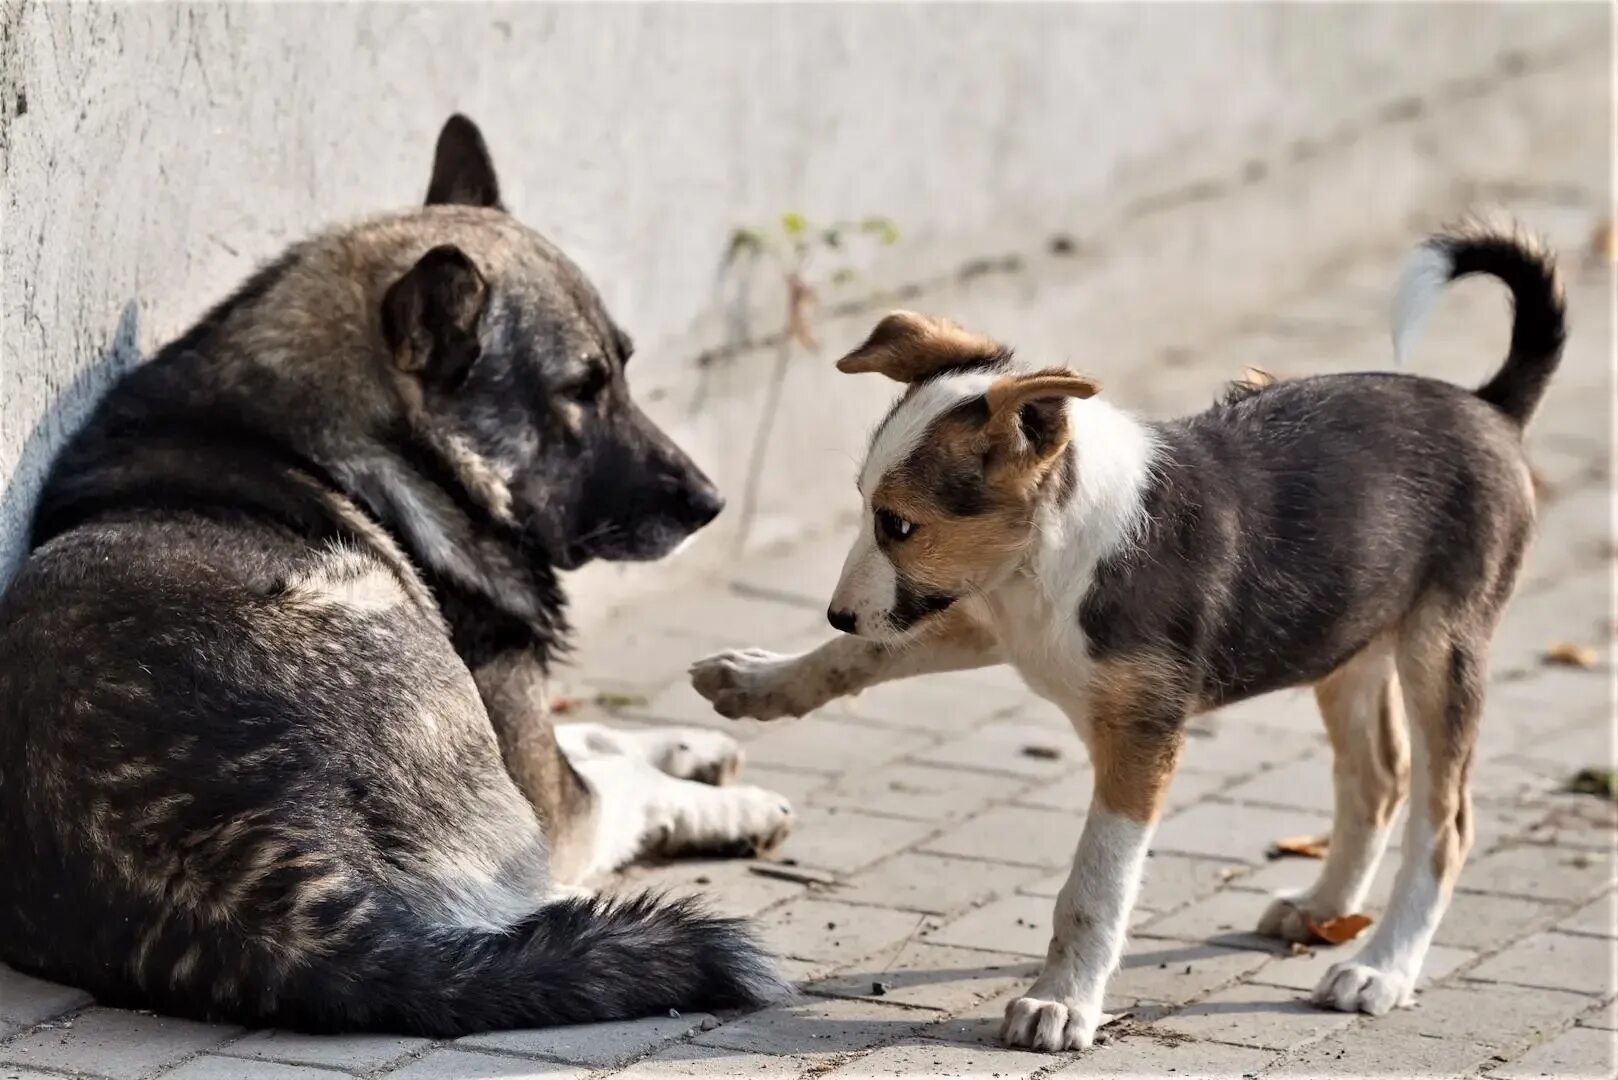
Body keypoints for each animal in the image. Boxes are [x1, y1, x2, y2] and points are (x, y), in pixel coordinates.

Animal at [0, 114, 789, 1036]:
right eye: (581, 389)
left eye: (623, 368)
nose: (710, 502)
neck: (375, 436)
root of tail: (245, 891)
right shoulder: (549, 797)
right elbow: (614, 776)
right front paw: (726, 802)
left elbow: (599, 735)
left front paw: (695, 745)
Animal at [695, 223, 1566, 1049]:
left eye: (900, 525)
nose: (837, 610)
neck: (1051, 556)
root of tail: (1490, 406)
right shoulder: (988, 619)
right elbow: (861, 654)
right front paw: (757, 681)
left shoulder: (1141, 736)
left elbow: (1095, 885)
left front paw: (1061, 1004)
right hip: (1346, 635)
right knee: (1378, 778)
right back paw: (1322, 909)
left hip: (1441, 650)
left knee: (1444, 823)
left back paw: (1381, 967)